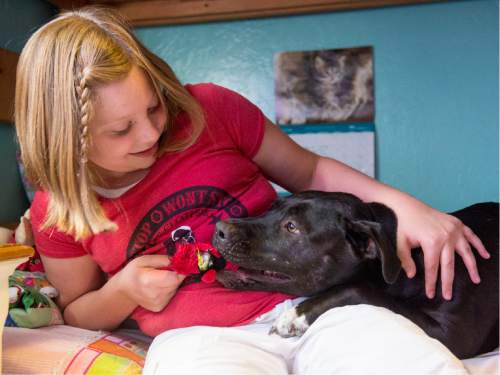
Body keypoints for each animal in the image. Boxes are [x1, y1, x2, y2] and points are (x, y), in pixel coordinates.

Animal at [213, 192, 498, 360]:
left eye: (291, 227)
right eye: (272, 207)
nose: (219, 229)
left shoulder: (453, 335)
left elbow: (358, 288)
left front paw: (296, 315)